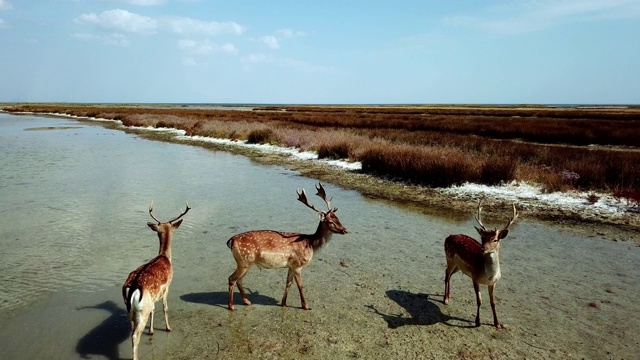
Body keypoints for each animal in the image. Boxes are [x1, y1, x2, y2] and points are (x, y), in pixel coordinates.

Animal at [120, 202, 189, 360]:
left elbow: (154, 309)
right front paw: (168, 327)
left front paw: (151, 331)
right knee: (135, 336)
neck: (164, 256)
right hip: (142, 310)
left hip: (131, 310)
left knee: (132, 330)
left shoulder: (153, 297)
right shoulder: (166, 288)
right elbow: (164, 307)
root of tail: (133, 288)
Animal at [226, 181, 348, 310]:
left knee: (239, 280)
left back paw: (247, 301)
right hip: (244, 261)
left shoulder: (291, 265)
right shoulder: (298, 264)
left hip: (247, 263)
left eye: (338, 218)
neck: (310, 244)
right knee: (232, 279)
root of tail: (231, 240)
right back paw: (231, 306)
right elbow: (300, 285)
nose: (344, 230)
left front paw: (283, 303)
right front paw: (305, 306)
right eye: (330, 221)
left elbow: (288, 283)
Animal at [444, 202, 520, 330]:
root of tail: (448, 236)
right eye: (482, 238)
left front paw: (497, 323)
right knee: (446, 274)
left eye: (495, 239)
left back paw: (448, 296)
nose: (482, 249)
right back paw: (445, 299)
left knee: (449, 274)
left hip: (459, 266)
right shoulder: (475, 277)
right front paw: (477, 322)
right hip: (449, 257)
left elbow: (493, 303)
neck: (488, 275)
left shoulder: (493, 283)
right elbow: (479, 300)